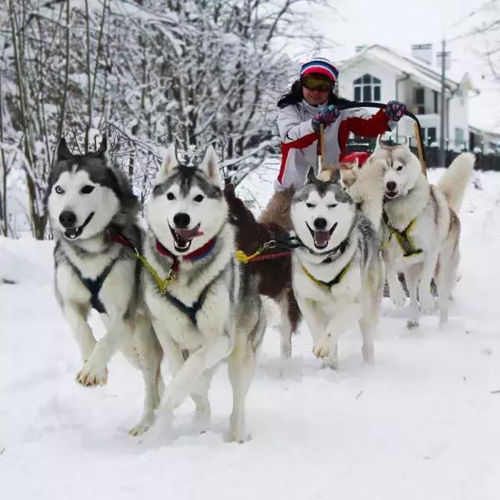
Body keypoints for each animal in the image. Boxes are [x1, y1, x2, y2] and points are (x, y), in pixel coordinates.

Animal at [46, 136, 162, 434]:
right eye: (60, 189)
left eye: (87, 188)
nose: (66, 217)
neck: (89, 251)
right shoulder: (68, 301)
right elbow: (81, 329)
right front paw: (90, 360)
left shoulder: (124, 313)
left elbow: (106, 340)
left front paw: (92, 370)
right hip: (130, 351)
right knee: (156, 378)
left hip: (142, 340)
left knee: (151, 379)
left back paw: (145, 422)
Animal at [142, 145, 266, 442]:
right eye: (171, 195)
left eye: (198, 197)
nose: (181, 218)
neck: (183, 266)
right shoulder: (163, 328)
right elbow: (181, 367)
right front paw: (193, 397)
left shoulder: (221, 338)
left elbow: (194, 366)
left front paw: (179, 393)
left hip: (241, 356)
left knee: (238, 401)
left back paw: (235, 435)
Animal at [290, 168, 382, 368]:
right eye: (310, 204)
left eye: (332, 205)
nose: (320, 221)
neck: (325, 259)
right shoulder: (304, 298)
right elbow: (315, 326)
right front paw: (323, 347)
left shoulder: (355, 303)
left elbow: (335, 326)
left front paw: (324, 346)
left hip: (369, 307)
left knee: (367, 341)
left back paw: (368, 364)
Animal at [374, 140, 474, 328]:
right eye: (382, 168)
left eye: (399, 167)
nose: (390, 184)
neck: (399, 210)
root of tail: (449, 211)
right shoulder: (386, 250)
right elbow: (390, 272)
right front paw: (397, 296)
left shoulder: (431, 251)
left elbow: (426, 280)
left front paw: (427, 302)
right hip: (410, 272)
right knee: (413, 296)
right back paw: (413, 321)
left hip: (443, 271)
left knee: (442, 301)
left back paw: (442, 327)